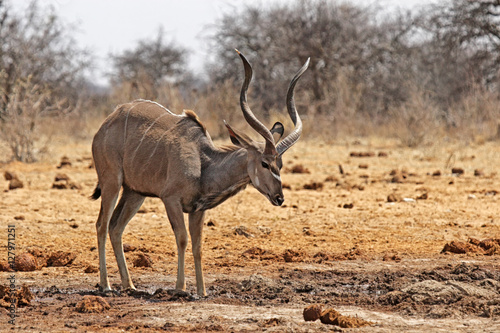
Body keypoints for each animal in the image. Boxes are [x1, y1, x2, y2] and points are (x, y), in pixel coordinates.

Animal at [90, 50, 308, 294]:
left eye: (280, 164)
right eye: (264, 163)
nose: (279, 198)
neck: (203, 164)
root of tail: (106, 124)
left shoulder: (198, 209)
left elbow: (198, 246)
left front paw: (202, 291)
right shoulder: (171, 200)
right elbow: (183, 238)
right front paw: (180, 288)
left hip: (134, 193)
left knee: (115, 227)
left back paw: (130, 285)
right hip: (112, 182)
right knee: (101, 225)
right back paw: (106, 285)